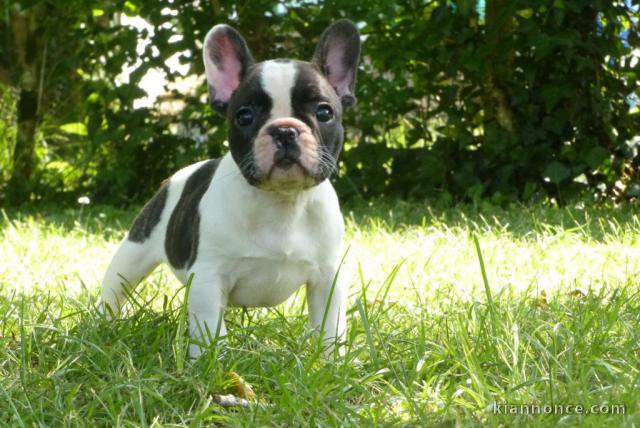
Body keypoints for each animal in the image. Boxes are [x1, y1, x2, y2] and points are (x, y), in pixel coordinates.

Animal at [100, 19, 360, 358]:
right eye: (245, 116)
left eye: (324, 113)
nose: (285, 130)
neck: (282, 201)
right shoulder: (208, 278)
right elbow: (210, 329)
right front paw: (213, 362)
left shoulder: (327, 278)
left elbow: (329, 325)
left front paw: (330, 361)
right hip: (134, 251)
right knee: (114, 287)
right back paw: (101, 324)